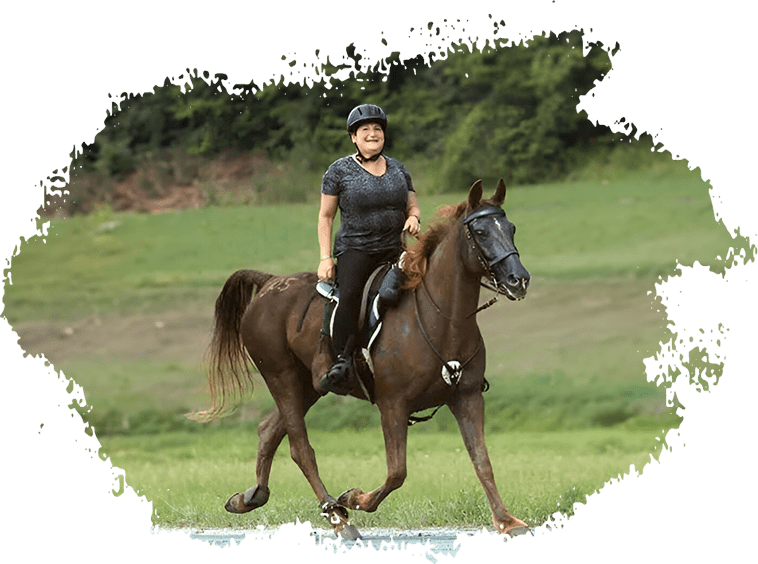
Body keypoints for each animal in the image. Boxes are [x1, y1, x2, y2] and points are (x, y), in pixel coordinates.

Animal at [189, 179, 531, 538]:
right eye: (480, 232)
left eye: (511, 228)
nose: (519, 279)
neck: (442, 317)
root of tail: (269, 283)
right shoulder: (393, 404)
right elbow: (397, 472)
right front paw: (353, 498)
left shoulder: (467, 397)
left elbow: (482, 461)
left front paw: (507, 521)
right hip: (281, 377)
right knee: (300, 448)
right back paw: (336, 514)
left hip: (308, 385)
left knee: (269, 430)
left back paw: (249, 498)